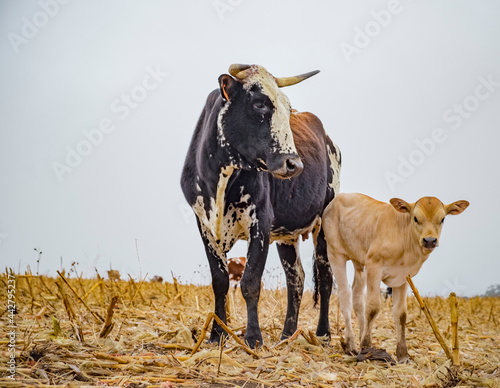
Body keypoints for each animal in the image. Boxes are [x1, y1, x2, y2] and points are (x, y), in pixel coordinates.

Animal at [180, 64, 340, 348]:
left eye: (288, 108)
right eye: (259, 104)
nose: (294, 164)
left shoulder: (261, 223)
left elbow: (251, 282)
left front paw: (253, 337)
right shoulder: (204, 225)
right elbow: (219, 281)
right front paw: (217, 335)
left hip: (324, 223)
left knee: (324, 277)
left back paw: (323, 334)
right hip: (287, 234)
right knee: (296, 278)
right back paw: (287, 335)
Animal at [320, 192, 468, 362]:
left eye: (442, 219)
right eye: (415, 218)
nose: (430, 240)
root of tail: (336, 199)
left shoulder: (403, 277)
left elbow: (401, 314)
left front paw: (402, 354)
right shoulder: (374, 267)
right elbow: (373, 307)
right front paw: (366, 347)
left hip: (359, 262)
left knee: (357, 297)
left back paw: (360, 335)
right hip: (335, 254)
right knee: (345, 295)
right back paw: (351, 343)